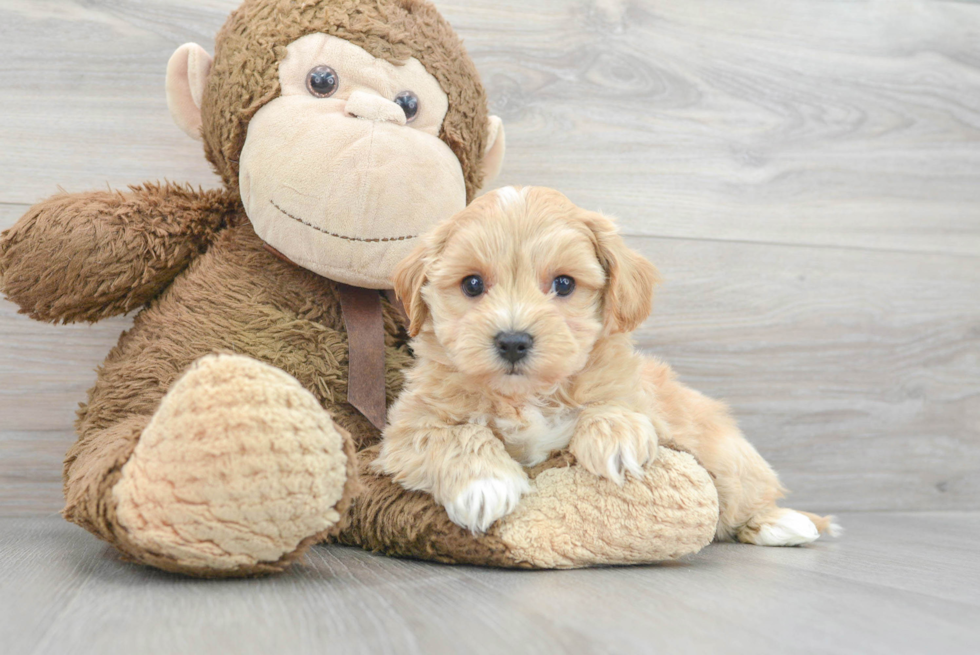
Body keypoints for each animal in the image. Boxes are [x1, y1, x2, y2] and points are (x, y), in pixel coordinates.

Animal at [378, 187, 840, 544]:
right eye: (472, 284)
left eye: (564, 283)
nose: (512, 341)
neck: (527, 396)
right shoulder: (406, 429)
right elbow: (456, 434)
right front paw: (486, 485)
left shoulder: (645, 402)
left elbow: (614, 404)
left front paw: (617, 439)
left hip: (729, 456)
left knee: (746, 495)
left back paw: (782, 522)